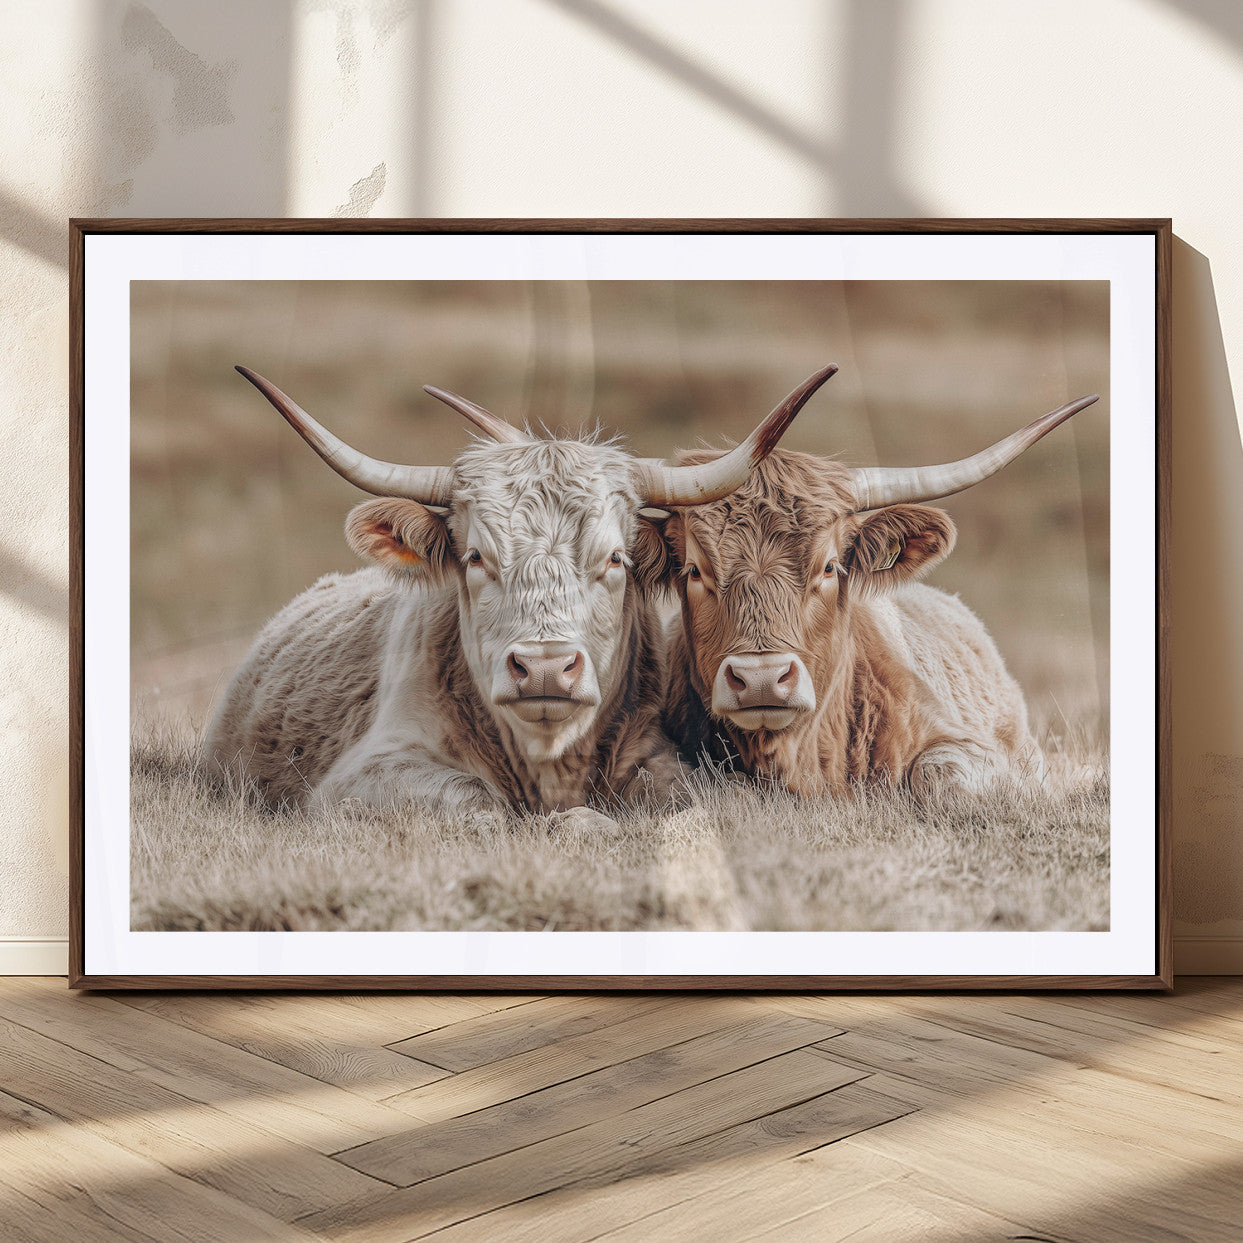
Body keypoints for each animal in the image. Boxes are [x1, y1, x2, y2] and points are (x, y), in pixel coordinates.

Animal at [202, 363, 836, 821]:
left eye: (615, 558)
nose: (545, 669)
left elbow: (707, 797)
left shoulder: (661, 757)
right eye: (476, 557)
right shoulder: (364, 774)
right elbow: (477, 803)